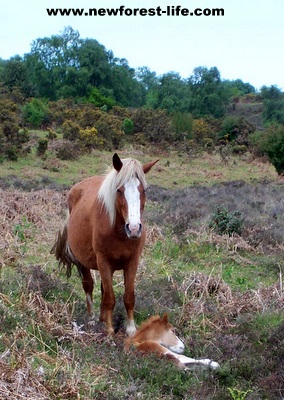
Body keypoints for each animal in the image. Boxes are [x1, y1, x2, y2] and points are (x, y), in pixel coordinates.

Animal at [51, 153, 158, 334]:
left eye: (143, 190)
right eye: (119, 190)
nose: (134, 228)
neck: (119, 233)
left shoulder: (132, 261)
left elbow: (129, 296)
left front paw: (131, 329)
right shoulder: (103, 261)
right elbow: (109, 298)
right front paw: (109, 331)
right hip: (84, 262)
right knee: (89, 285)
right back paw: (93, 319)